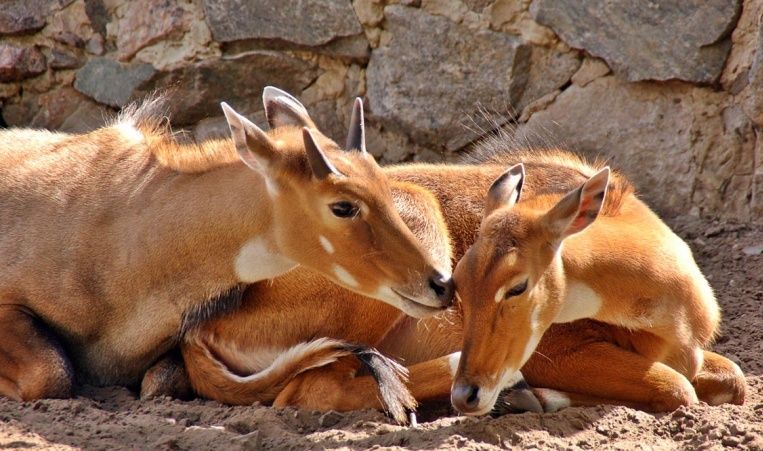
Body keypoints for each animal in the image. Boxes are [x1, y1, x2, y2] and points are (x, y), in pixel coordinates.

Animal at [169, 147, 748, 422]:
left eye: (516, 286)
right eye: (460, 291)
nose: (470, 391)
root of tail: (203, 326)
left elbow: (735, 379)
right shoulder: (558, 353)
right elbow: (676, 388)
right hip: (414, 227)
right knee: (307, 390)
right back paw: (515, 393)